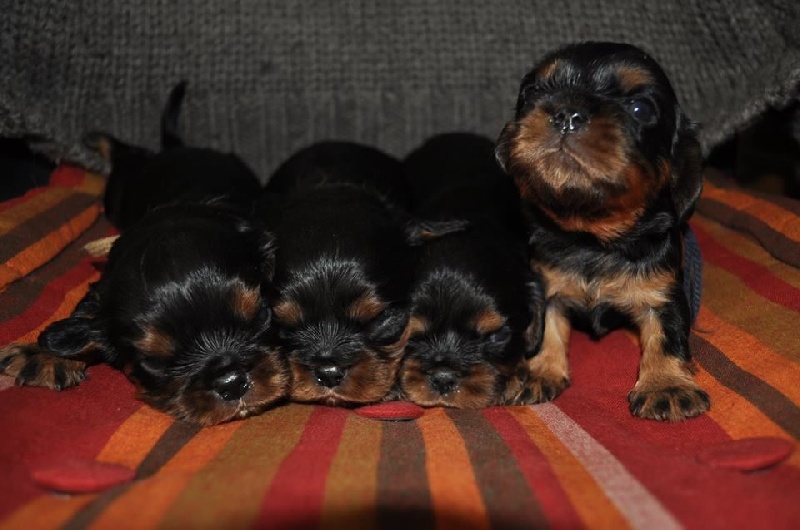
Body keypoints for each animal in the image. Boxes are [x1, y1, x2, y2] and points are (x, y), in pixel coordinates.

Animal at [0, 81, 288, 424]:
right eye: (154, 360)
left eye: (261, 314)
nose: (230, 382)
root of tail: (176, 148)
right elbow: (85, 313)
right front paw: (45, 355)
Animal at [496, 41, 708, 418]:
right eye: (533, 92)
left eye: (640, 108)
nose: (567, 114)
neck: (591, 236)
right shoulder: (546, 284)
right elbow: (547, 327)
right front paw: (537, 371)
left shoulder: (663, 291)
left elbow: (666, 335)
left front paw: (666, 385)